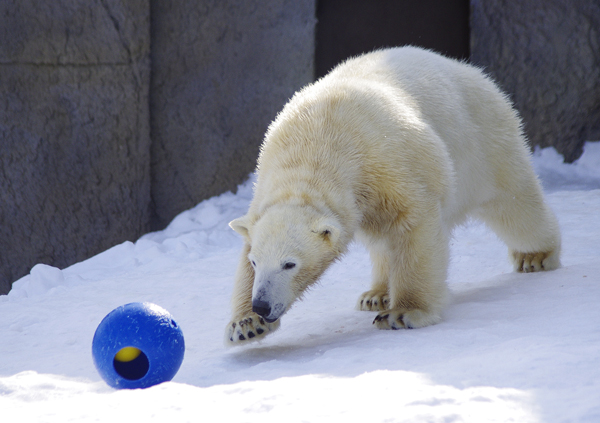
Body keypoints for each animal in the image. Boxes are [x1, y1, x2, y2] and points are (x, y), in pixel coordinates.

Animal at [223, 46, 560, 346]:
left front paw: (404, 313)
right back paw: (376, 294)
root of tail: (470, 70)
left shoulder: (389, 160)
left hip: (484, 141)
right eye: (255, 262)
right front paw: (245, 325)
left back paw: (536, 256)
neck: (314, 144)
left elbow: (414, 223)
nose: (262, 305)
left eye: (289, 264)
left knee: (514, 204)